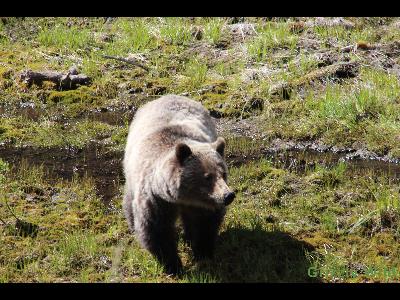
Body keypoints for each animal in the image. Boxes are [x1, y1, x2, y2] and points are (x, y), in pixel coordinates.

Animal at [122, 95, 234, 276]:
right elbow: (156, 229)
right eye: (207, 177)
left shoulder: (204, 204)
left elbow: (205, 224)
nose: (228, 195)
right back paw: (133, 227)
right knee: (129, 201)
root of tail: (169, 95)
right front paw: (173, 266)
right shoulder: (156, 199)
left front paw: (202, 253)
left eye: (223, 173)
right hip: (131, 173)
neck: (181, 197)